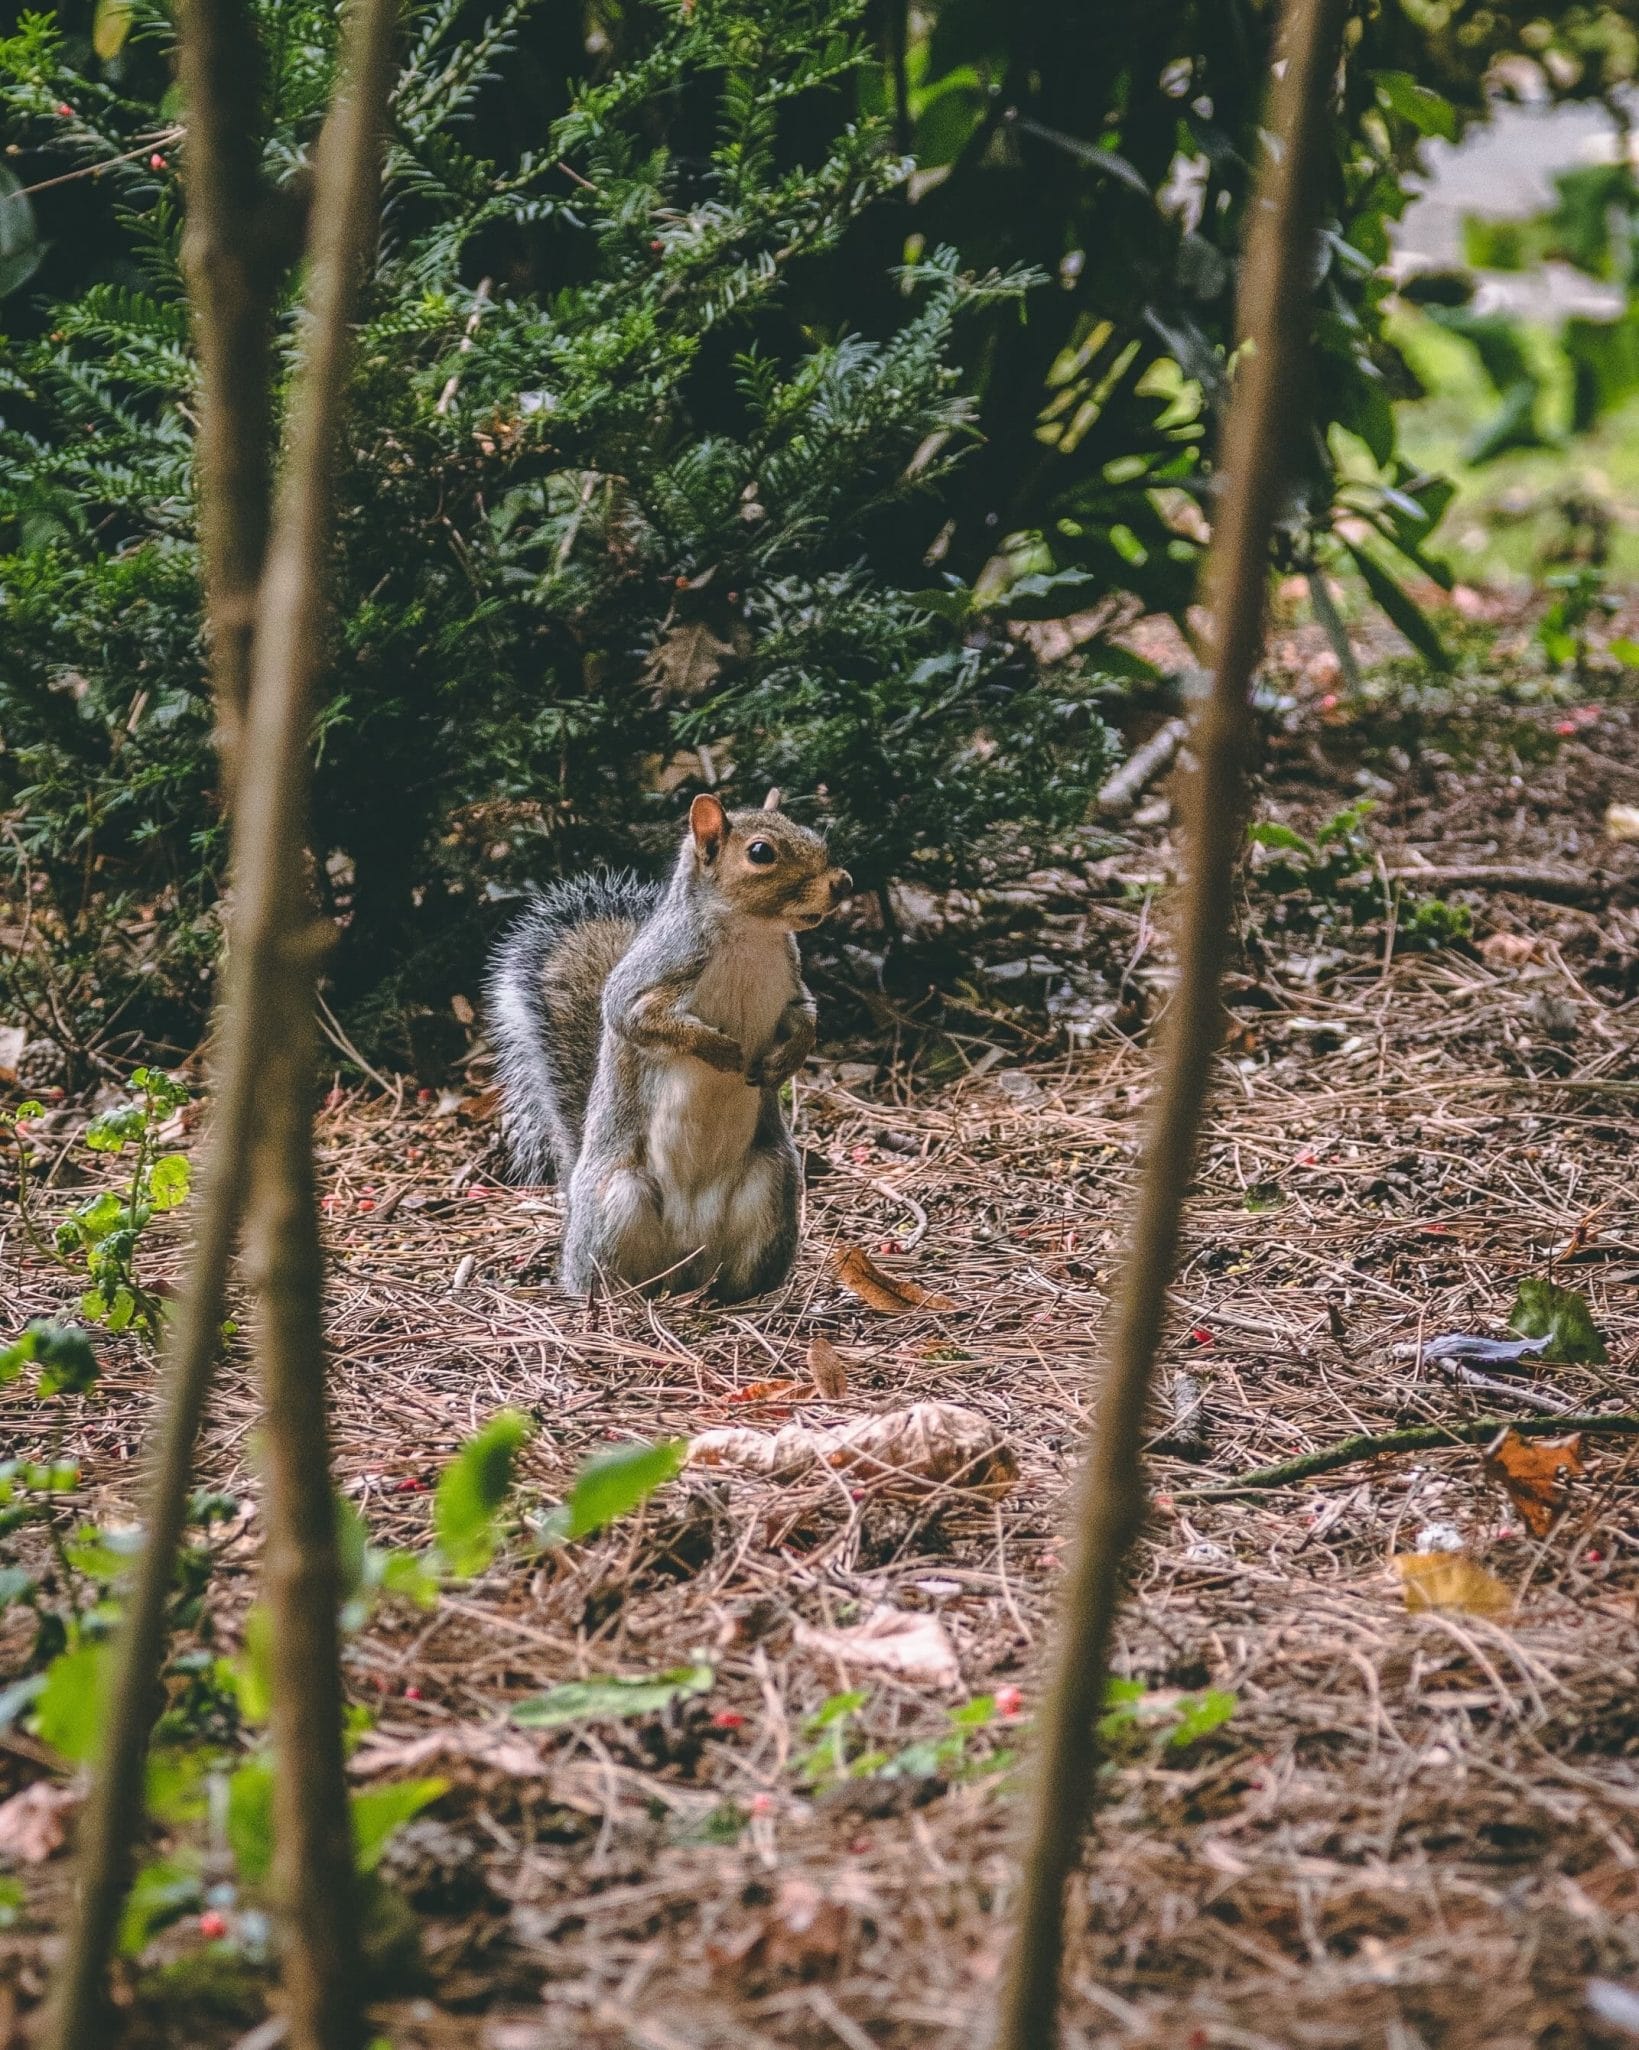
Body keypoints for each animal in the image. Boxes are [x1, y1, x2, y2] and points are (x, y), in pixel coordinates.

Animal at [487, 787, 852, 1295]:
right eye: (761, 852)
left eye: (813, 833)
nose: (844, 884)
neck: (751, 935)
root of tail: (686, 1257)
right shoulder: (652, 977)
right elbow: (638, 1021)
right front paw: (719, 1049)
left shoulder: (792, 984)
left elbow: (805, 1018)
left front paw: (788, 1057)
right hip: (619, 1200)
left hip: (773, 1183)